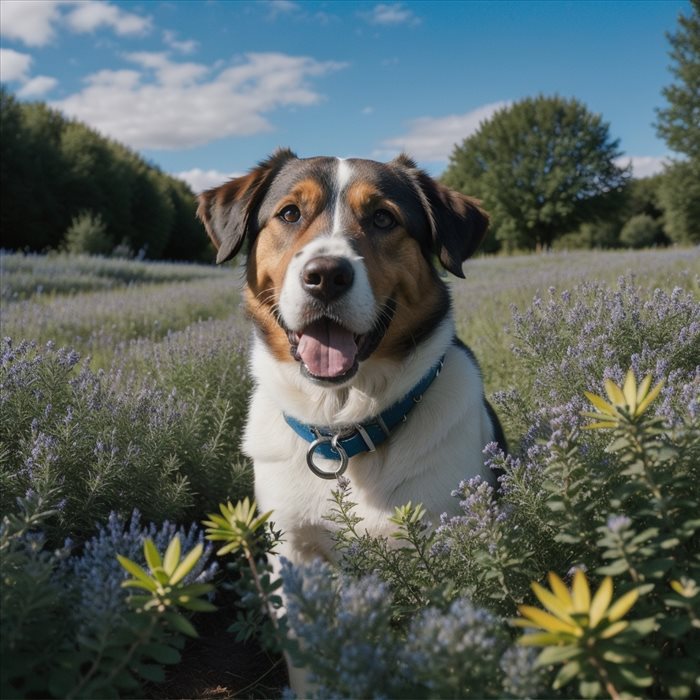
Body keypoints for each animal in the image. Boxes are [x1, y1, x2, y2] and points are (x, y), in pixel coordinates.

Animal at [196, 146, 504, 684]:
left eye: (383, 218)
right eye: (289, 214)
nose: (326, 276)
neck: (343, 427)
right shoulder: (293, 555)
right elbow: (307, 662)